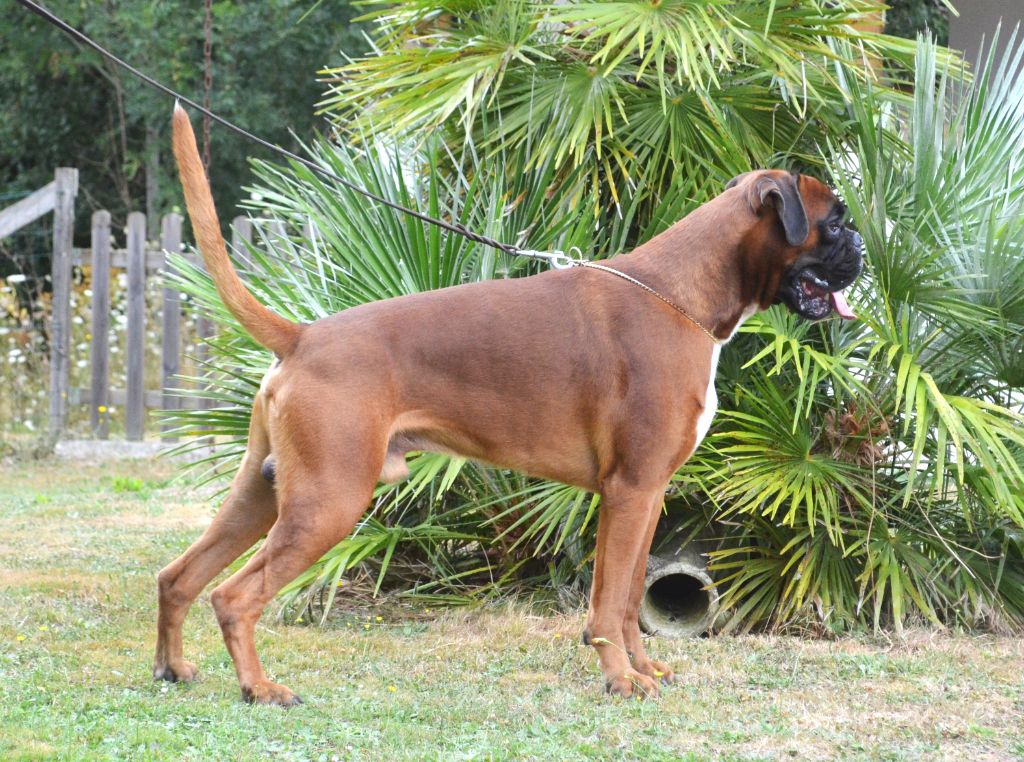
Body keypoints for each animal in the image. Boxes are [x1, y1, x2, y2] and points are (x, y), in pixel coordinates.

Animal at [155, 105, 860, 700]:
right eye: (835, 222)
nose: (861, 250)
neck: (679, 294)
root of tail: (302, 335)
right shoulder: (630, 491)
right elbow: (609, 603)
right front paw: (620, 680)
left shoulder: (650, 494)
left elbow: (631, 597)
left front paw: (643, 667)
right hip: (329, 500)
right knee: (234, 596)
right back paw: (260, 688)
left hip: (264, 493)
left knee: (178, 576)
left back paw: (173, 668)